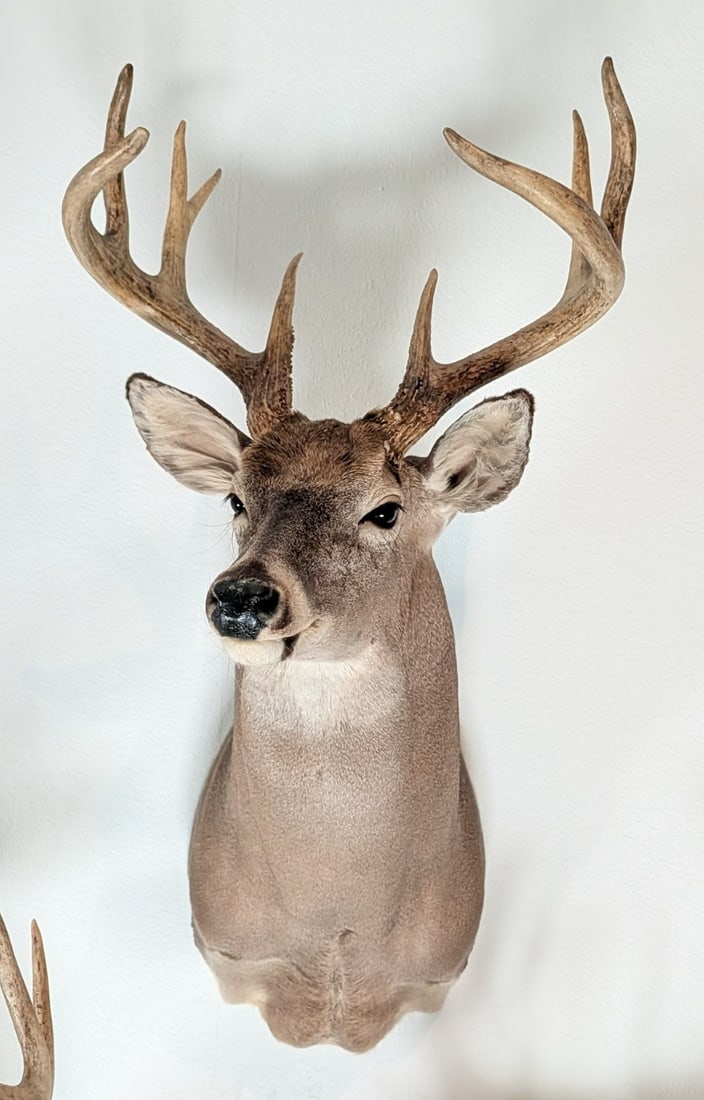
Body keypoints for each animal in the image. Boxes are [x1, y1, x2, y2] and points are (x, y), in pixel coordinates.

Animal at [61, 60, 635, 1051]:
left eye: (385, 510)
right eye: (236, 497)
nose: (242, 597)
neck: (337, 929)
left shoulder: (436, 980)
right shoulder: (229, 956)